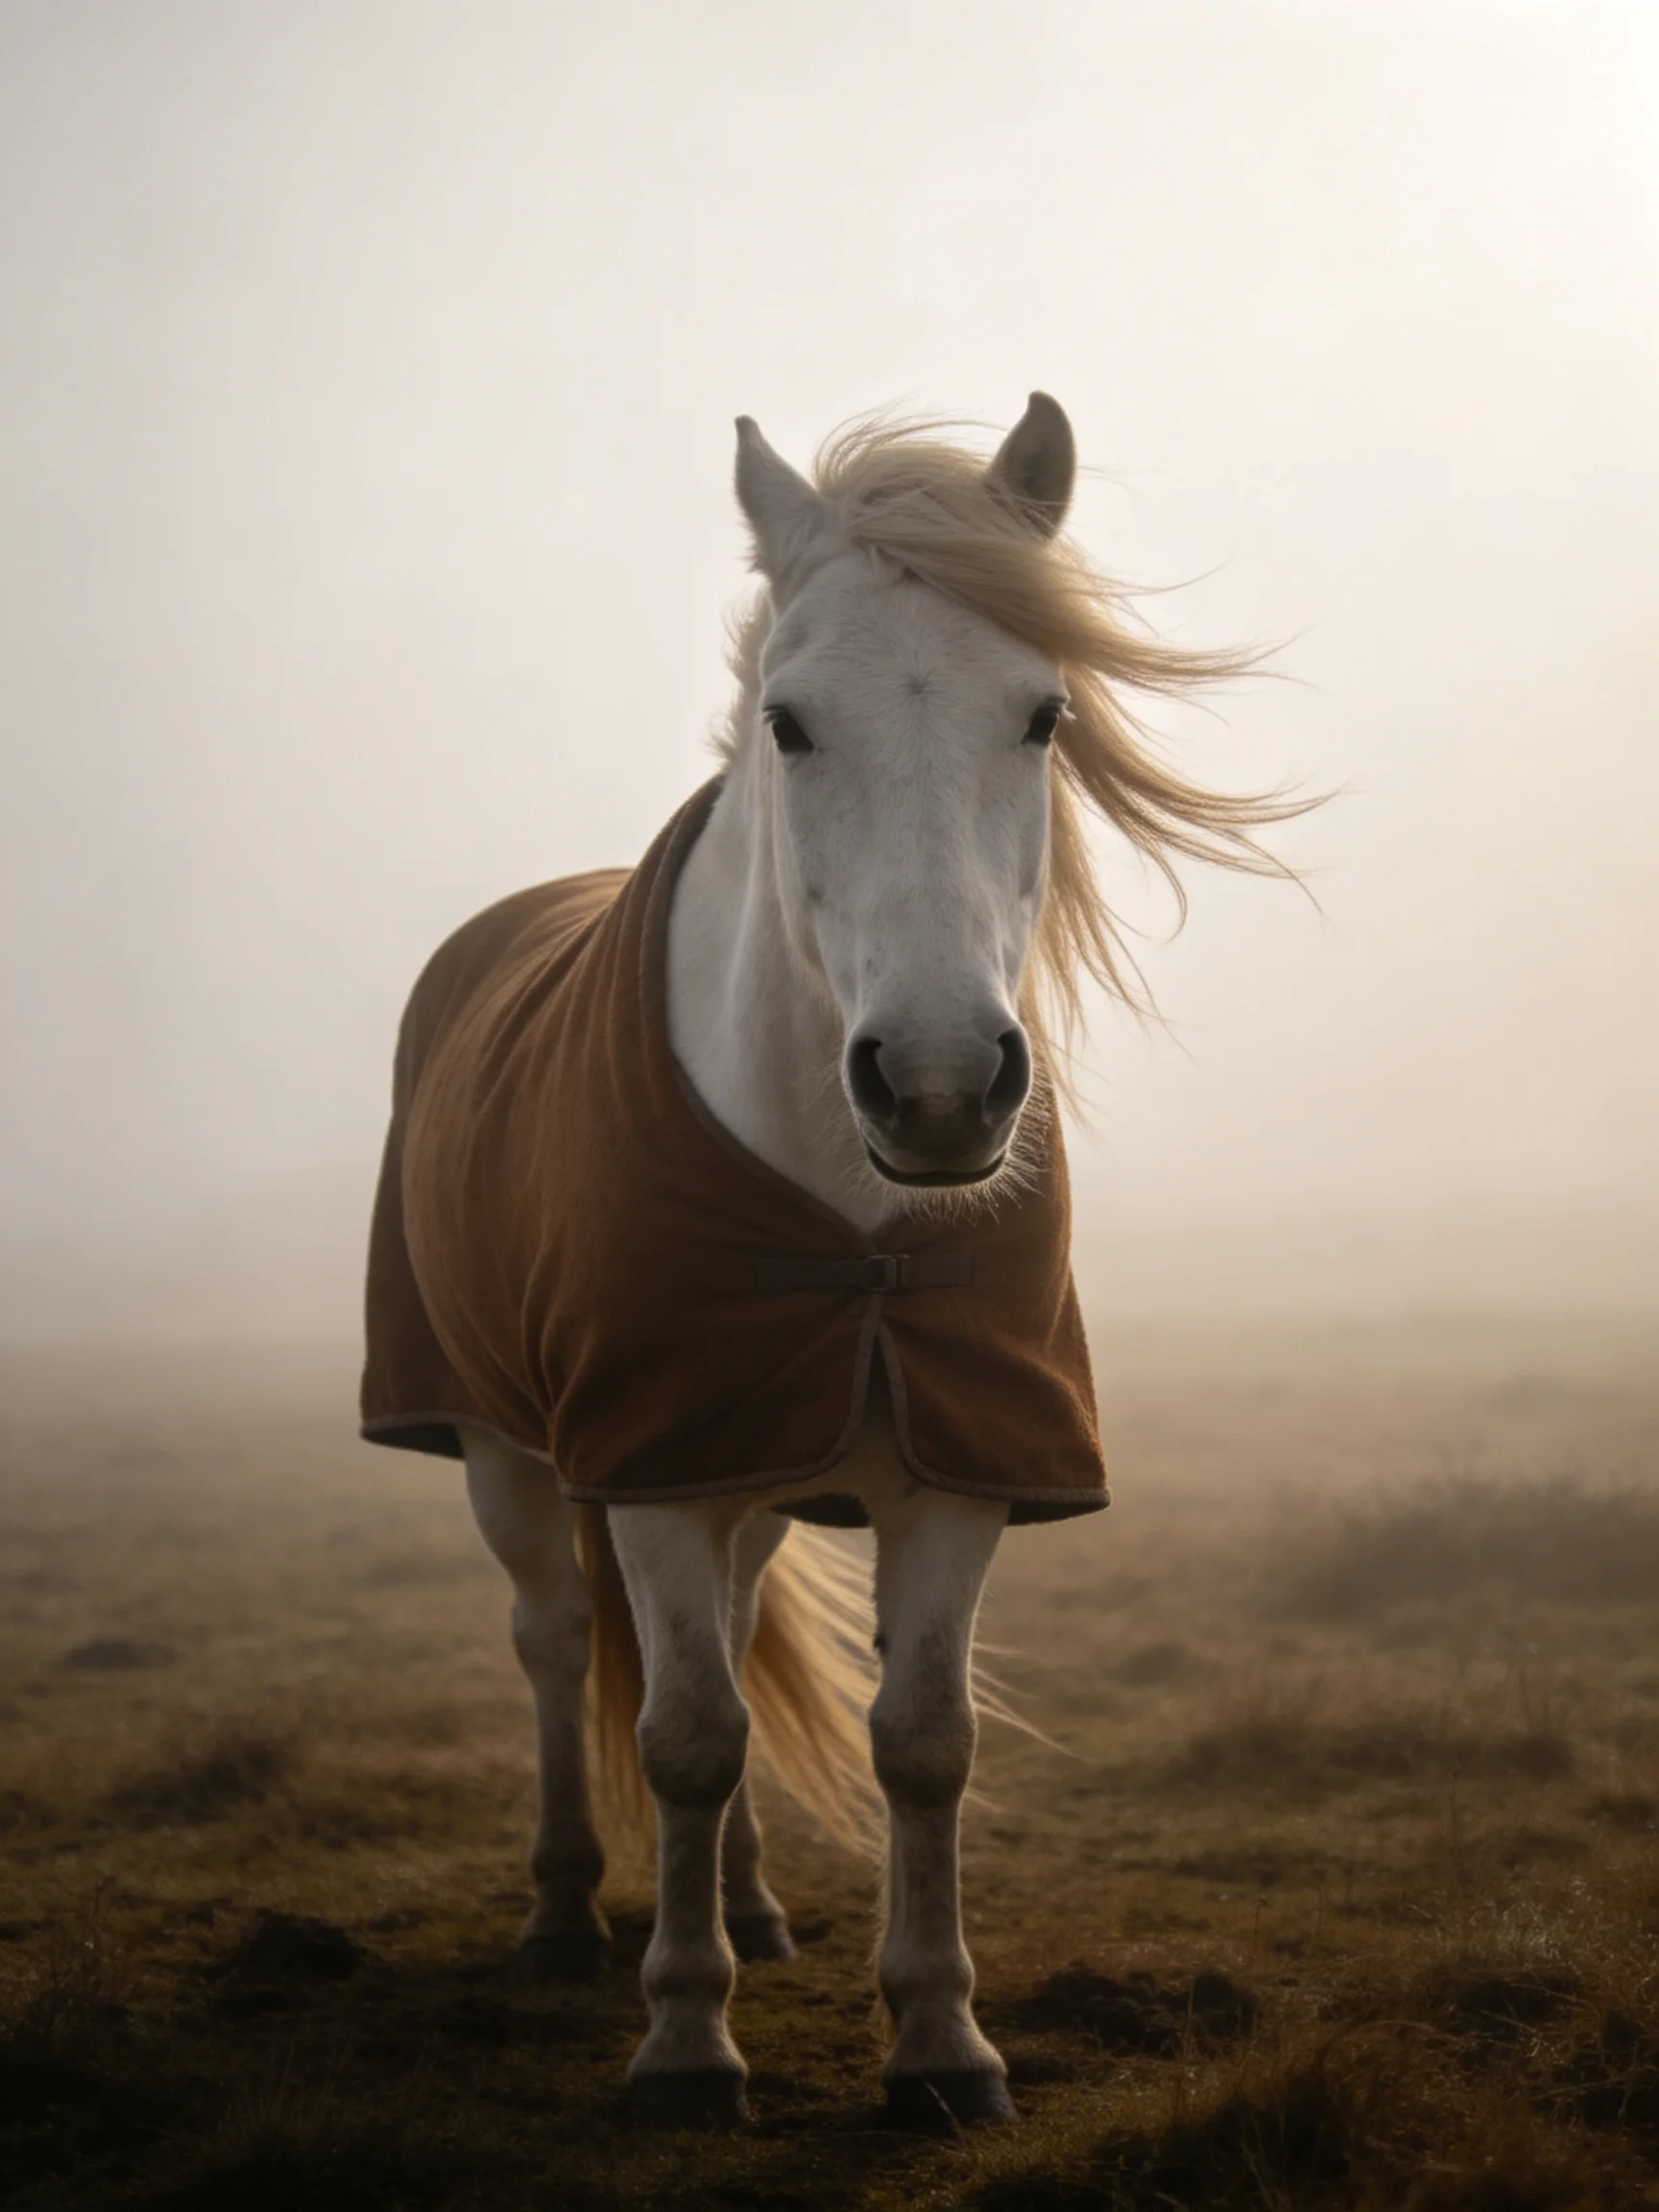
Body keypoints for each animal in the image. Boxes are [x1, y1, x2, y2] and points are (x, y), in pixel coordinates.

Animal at [361, 393, 1296, 2131]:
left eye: (1044, 715)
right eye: (789, 724)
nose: (935, 1084)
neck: (851, 1239)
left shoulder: (954, 1468)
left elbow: (919, 1741)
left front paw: (939, 2041)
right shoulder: (652, 1466)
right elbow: (680, 1738)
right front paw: (682, 2045)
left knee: (726, 1640)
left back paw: (748, 1907)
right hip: (504, 1448)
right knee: (556, 1644)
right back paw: (562, 1913)